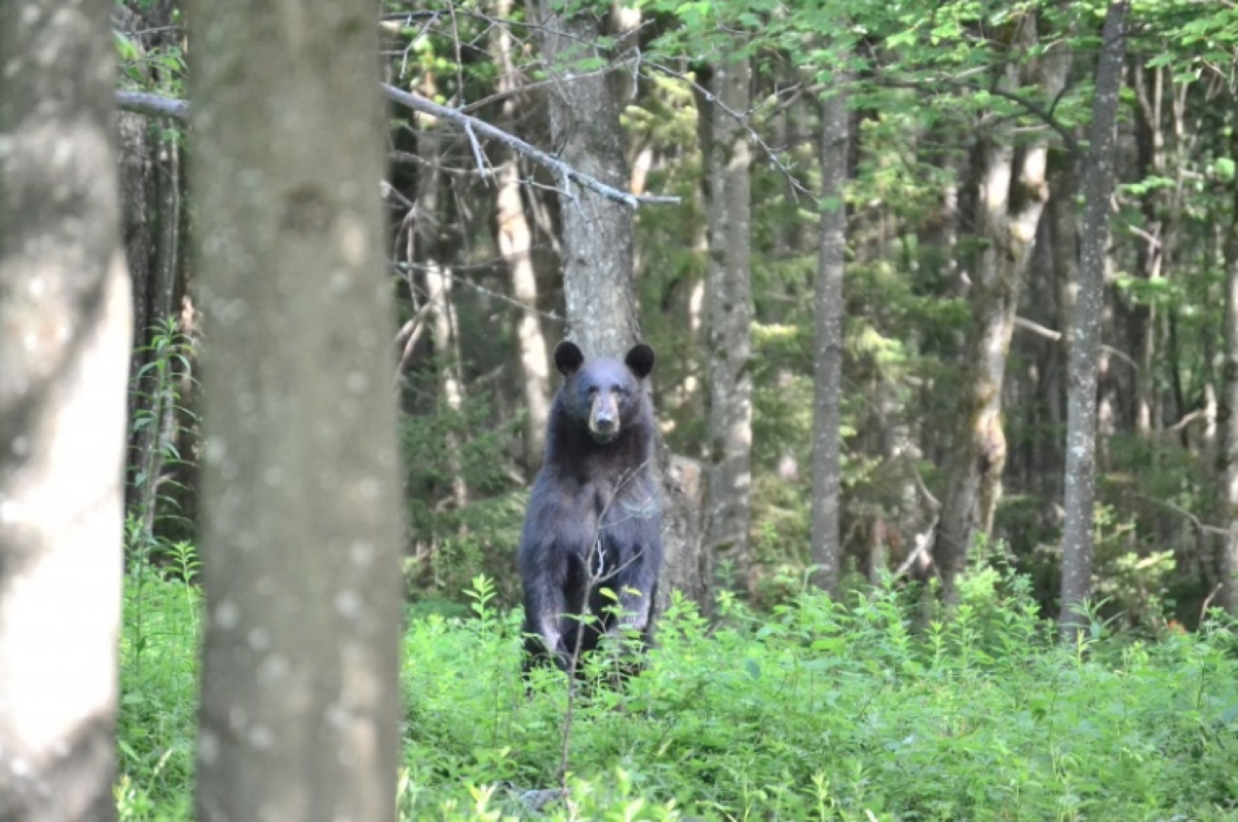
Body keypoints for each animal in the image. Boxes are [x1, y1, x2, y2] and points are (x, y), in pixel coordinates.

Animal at [517, 336, 663, 673]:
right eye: (590, 390)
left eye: (619, 390)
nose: (605, 421)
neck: (600, 466)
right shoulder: (555, 503)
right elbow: (543, 567)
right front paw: (556, 648)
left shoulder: (635, 503)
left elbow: (638, 567)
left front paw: (613, 644)